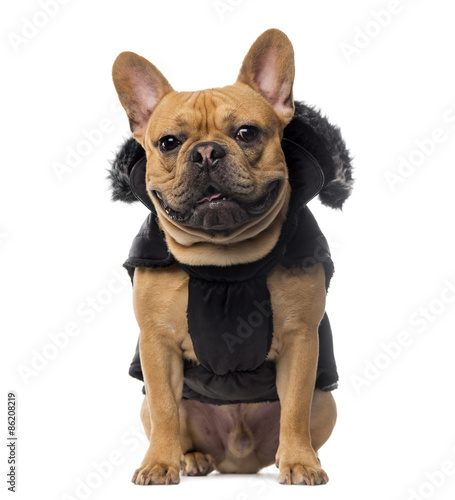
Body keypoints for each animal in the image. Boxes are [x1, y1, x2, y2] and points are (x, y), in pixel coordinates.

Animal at [110, 26, 352, 484]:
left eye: (246, 133)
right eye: (168, 143)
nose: (206, 152)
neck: (224, 259)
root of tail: (238, 459)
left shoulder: (301, 341)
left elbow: (294, 407)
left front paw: (299, 462)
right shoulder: (156, 344)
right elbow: (166, 409)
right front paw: (160, 463)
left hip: (326, 402)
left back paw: (296, 457)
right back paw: (189, 459)